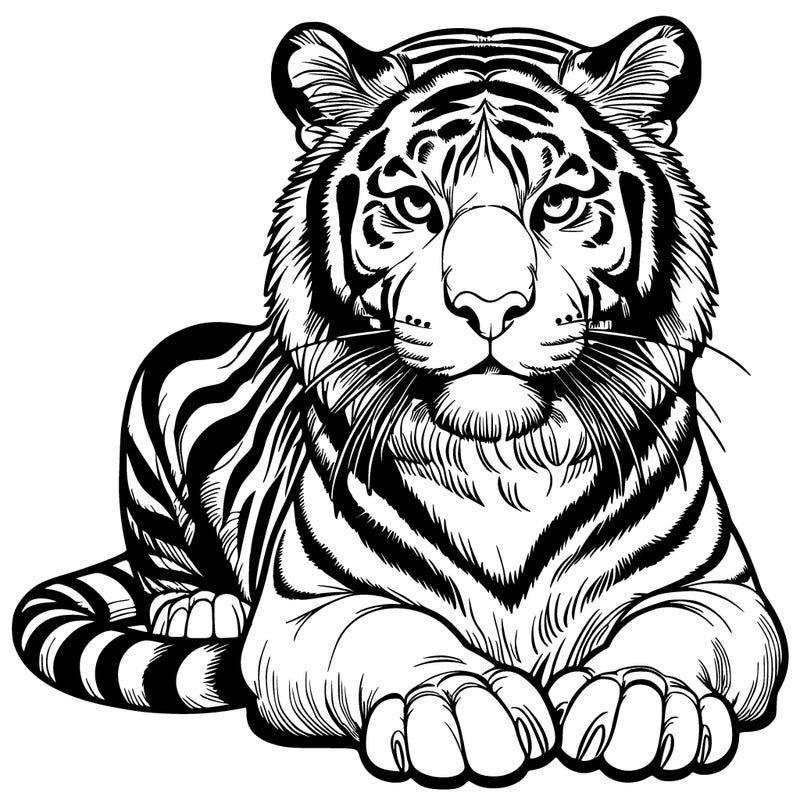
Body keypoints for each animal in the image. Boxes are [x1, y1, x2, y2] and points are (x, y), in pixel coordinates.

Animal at [13, 17, 786, 786]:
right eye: (416, 205)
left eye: (558, 204)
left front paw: (639, 699)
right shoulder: (308, 610)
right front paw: (460, 702)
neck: (504, 467)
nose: (489, 305)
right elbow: (389, 634)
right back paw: (201, 608)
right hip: (160, 381)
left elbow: (676, 632)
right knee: (160, 562)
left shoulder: (725, 593)